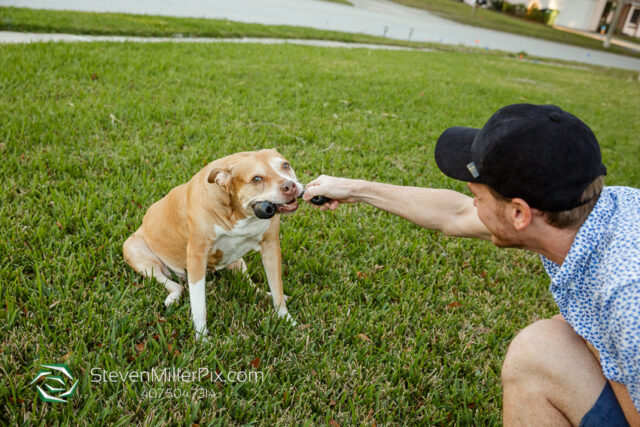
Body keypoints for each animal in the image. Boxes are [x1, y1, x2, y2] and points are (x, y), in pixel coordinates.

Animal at [125, 149, 304, 340]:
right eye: (256, 179)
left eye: (285, 165)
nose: (290, 186)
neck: (238, 212)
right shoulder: (197, 256)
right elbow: (199, 305)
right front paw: (202, 338)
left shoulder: (271, 247)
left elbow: (277, 288)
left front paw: (287, 319)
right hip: (139, 257)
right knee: (174, 284)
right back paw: (173, 297)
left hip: (238, 261)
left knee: (249, 283)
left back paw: (264, 294)